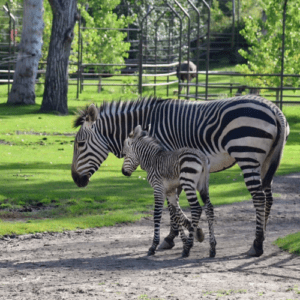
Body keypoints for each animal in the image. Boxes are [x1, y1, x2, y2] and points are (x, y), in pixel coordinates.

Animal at [122, 125, 216, 258]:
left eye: (124, 154)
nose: (123, 172)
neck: (151, 160)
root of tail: (202, 157)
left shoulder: (158, 189)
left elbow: (157, 215)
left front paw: (153, 246)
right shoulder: (170, 192)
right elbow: (176, 214)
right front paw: (189, 237)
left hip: (188, 183)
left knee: (197, 209)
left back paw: (188, 248)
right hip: (203, 184)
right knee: (209, 208)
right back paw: (212, 247)